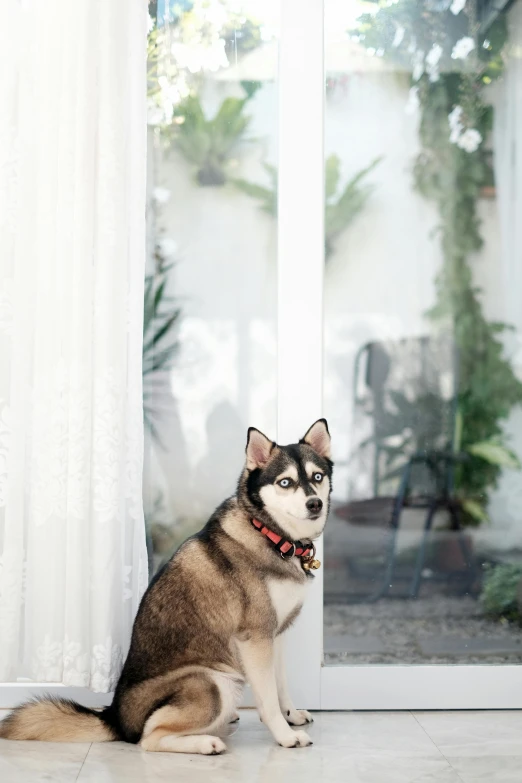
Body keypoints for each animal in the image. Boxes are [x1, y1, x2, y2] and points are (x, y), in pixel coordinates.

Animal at [0, 420, 332, 756]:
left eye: (317, 476)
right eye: (285, 482)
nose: (314, 503)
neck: (271, 535)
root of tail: (115, 718)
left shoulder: (276, 634)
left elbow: (280, 686)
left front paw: (291, 716)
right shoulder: (255, 637)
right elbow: (267, 699)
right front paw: (285, 735)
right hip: (212, 681)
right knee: (149, 737)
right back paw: (206, 743)